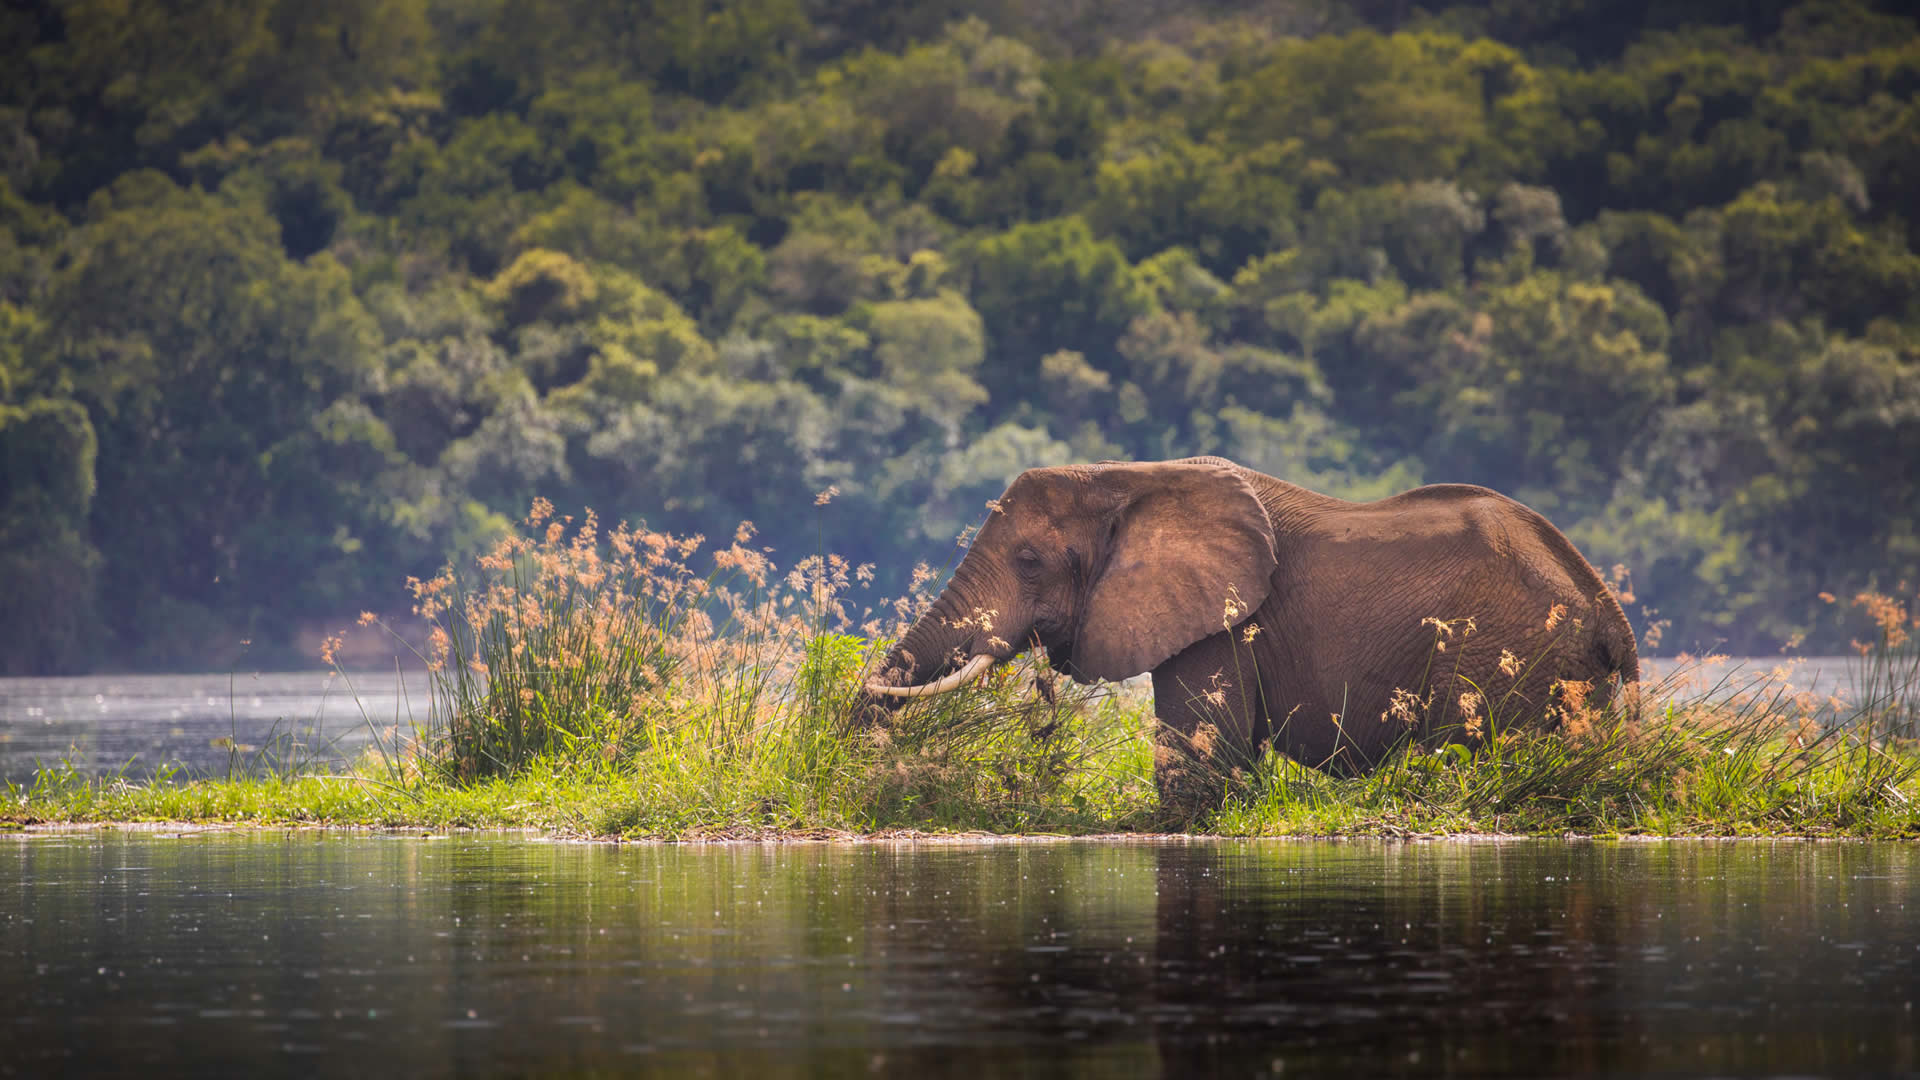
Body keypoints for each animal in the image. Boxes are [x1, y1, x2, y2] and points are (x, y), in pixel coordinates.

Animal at [867, 453, 1635, 814]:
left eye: (1028, 561)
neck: (1126, 477)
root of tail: (1610, 615)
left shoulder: (1222, 623)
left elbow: (1197, 767)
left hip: (1513, 657)